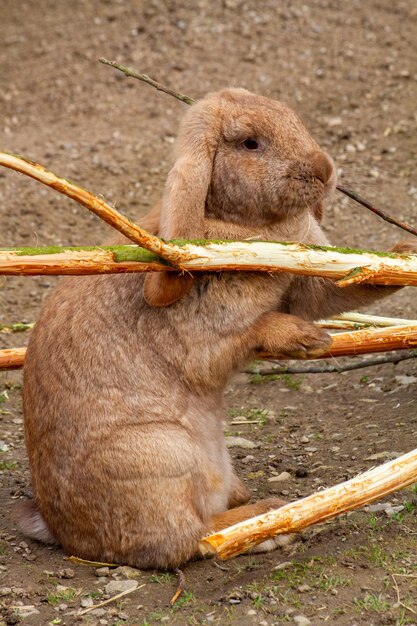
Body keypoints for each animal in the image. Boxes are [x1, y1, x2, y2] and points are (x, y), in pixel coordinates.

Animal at [18, 88, 412, 572]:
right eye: (249, 143)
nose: (324, 169)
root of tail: (66, 535)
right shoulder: (203, 342)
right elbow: (248, 335)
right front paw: (306, 339)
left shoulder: (311, 283)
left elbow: (344, 286)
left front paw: (401, 255)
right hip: (162, 456)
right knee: (193, 537)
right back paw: (269, 519)